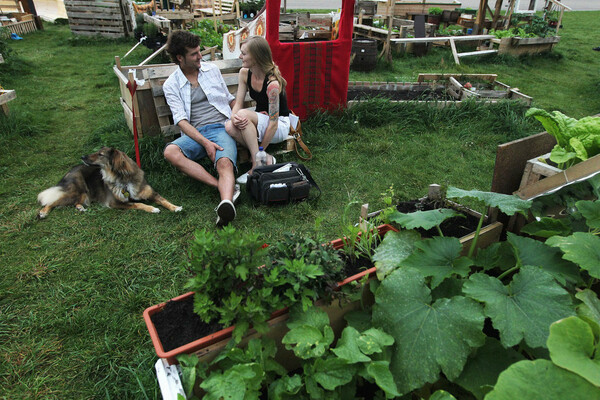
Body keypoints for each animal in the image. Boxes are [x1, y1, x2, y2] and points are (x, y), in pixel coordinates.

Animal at [37, 146, 182, 217]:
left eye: (100, 154)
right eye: (97, 152)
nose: (82, 156)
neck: (123, 179)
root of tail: (71, 170)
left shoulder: (151, 193)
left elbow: (163, 200)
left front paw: (175, 207)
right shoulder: (115, 202)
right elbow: (137, 204)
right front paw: (152, 209)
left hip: (84, 195)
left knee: (74, 202)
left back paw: (80, 207)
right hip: (76, 191)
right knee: (53, 201)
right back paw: (43, 212)